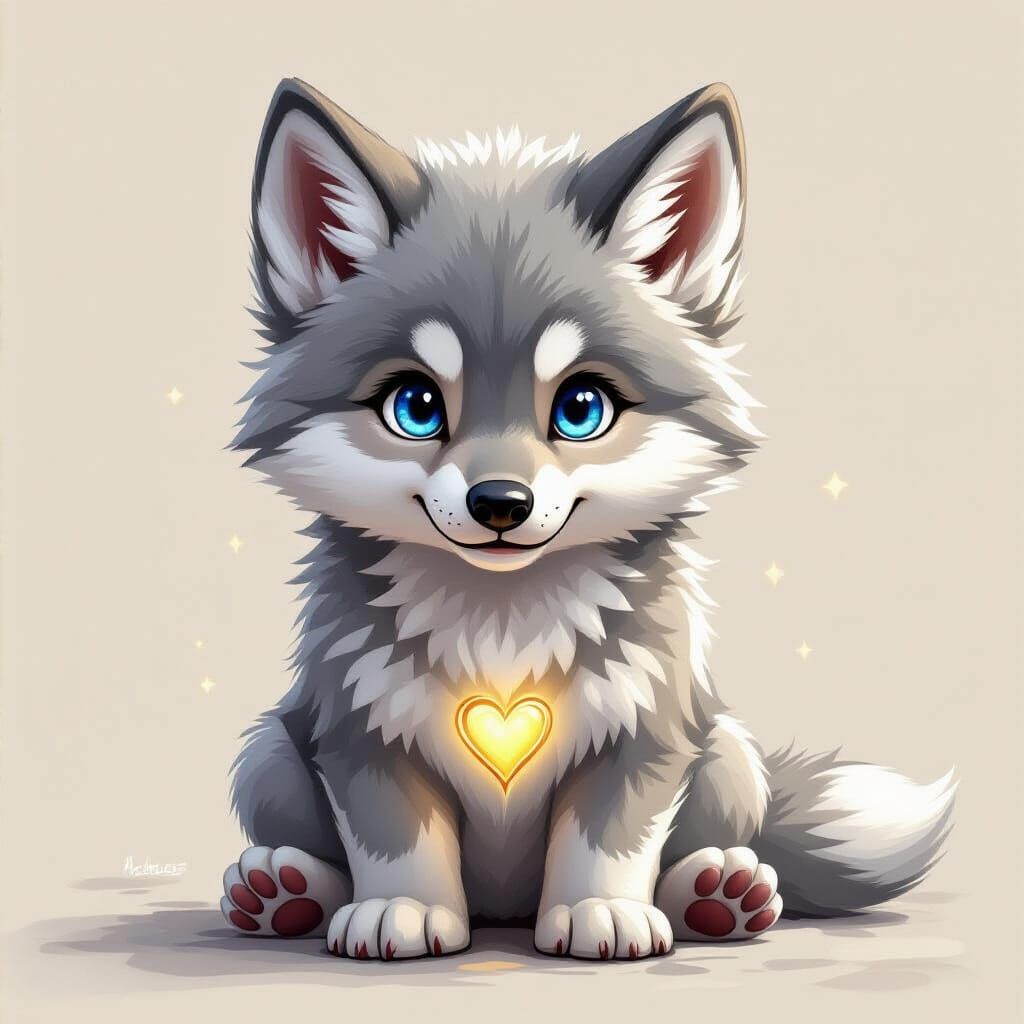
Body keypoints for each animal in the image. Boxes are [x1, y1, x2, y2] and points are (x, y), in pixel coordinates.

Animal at [220, 78, 956, 960]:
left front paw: (600, 910)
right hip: (268, 751)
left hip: (726, 752)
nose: (500, 504)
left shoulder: (645, 730)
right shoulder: (362, 730)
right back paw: (285, 891)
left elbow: (609, 837)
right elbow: (396, 835)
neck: (501, 625)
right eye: (415, 406)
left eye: (580, 409)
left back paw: (717, 893)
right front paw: (402, 907)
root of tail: (502, 910)